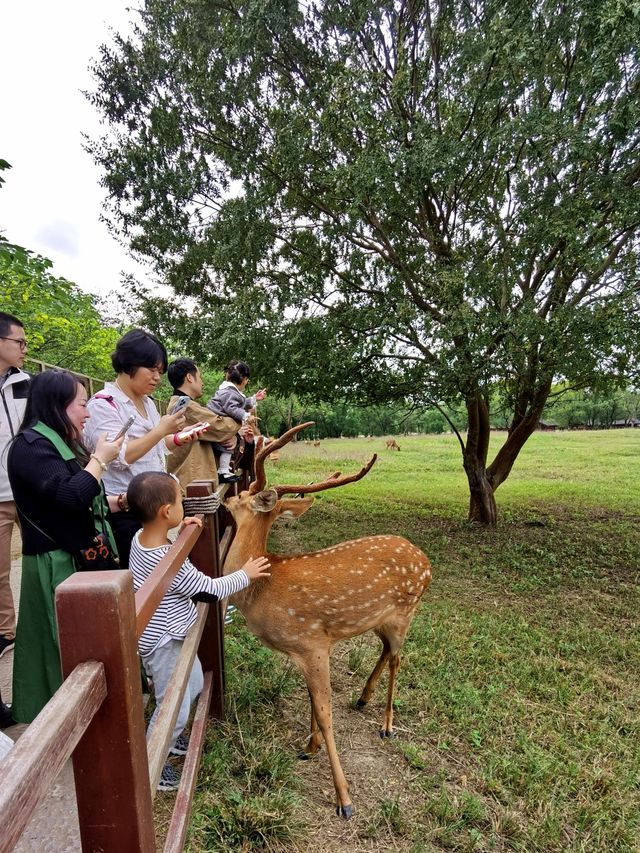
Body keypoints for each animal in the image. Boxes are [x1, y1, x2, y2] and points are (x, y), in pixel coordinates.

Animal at [222, 422, 432, 816]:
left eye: (241, 497)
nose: (226, 495)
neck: (262, 587)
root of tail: (426, 560)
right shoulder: (308, 648)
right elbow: (310, 700)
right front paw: (309, 747)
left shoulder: (311, 642)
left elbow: (324, 710)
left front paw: (344, 799)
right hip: (379, 619)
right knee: (385, 651)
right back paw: (363, 698)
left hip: (406, 610)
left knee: (398, 658)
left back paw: (387, 725)